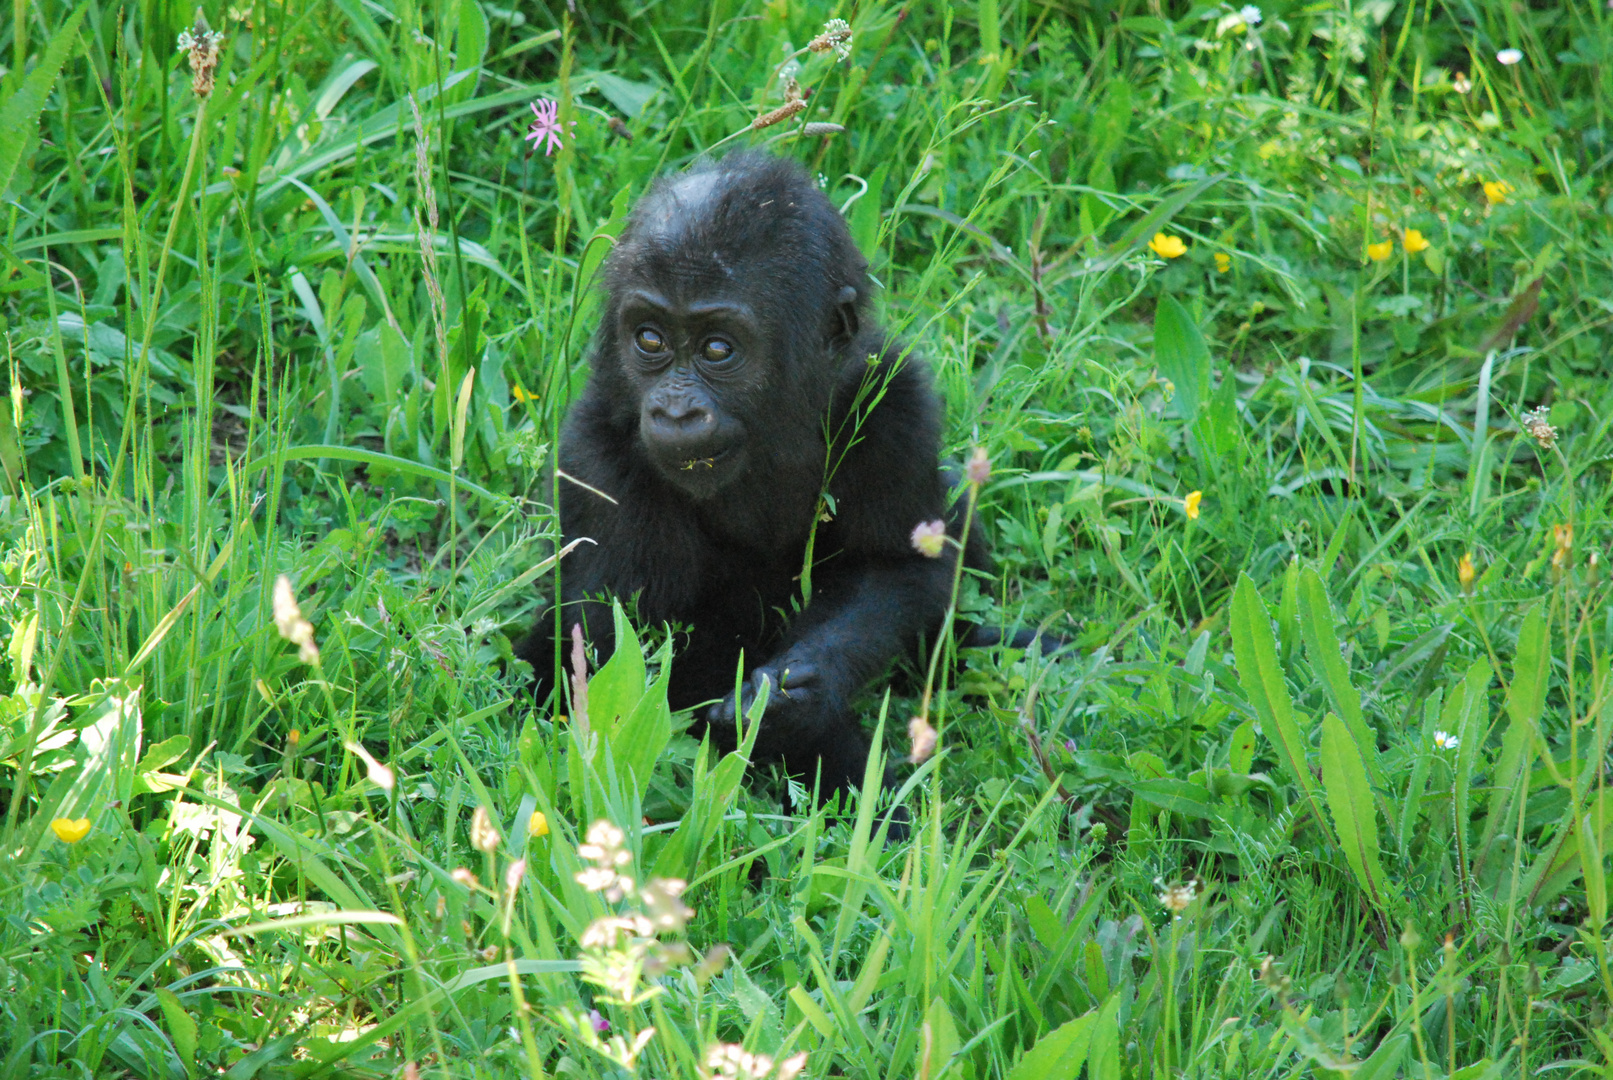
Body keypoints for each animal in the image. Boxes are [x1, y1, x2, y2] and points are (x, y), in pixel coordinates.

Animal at [522, 152, 987, 812]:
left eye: (718, 349)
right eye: (650, 339)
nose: (675, 412)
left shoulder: (898, 405)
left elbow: (898, 567)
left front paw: (797, 697)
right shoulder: (595, 453)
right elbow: (607, 659)